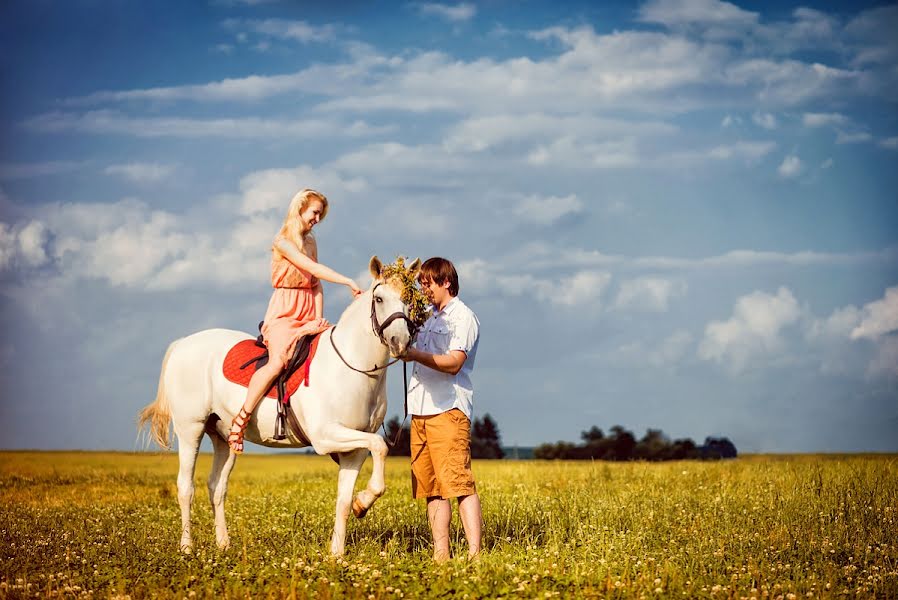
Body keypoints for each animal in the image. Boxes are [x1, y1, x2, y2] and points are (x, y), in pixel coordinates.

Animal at [140, 255, 420, 556]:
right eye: (379, 299)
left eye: (409, 299)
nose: (400, 342)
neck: (354, 366)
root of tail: (183, 344)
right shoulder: (326, 436)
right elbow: (380, 446)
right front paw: (362, 505)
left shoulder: (354, 449)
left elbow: (346, 500)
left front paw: (341, 543)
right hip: (190, 429)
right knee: (185, 486)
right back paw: (187, 547)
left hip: (223, 437)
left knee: (216, 486)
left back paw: (224, 544)